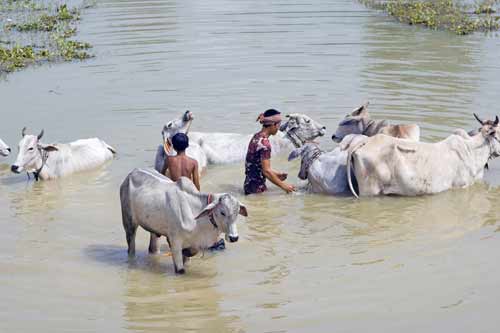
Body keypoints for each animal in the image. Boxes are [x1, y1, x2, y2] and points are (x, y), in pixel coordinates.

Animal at [119, 167, 248, 274]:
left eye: (237, 212)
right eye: (222, 212)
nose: (234, 238)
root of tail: (132, 173)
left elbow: (190, 253)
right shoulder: (175, 240)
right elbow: (180, 269)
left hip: (153, 229)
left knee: (153, 248)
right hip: (129, 224)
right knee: (131, 247)